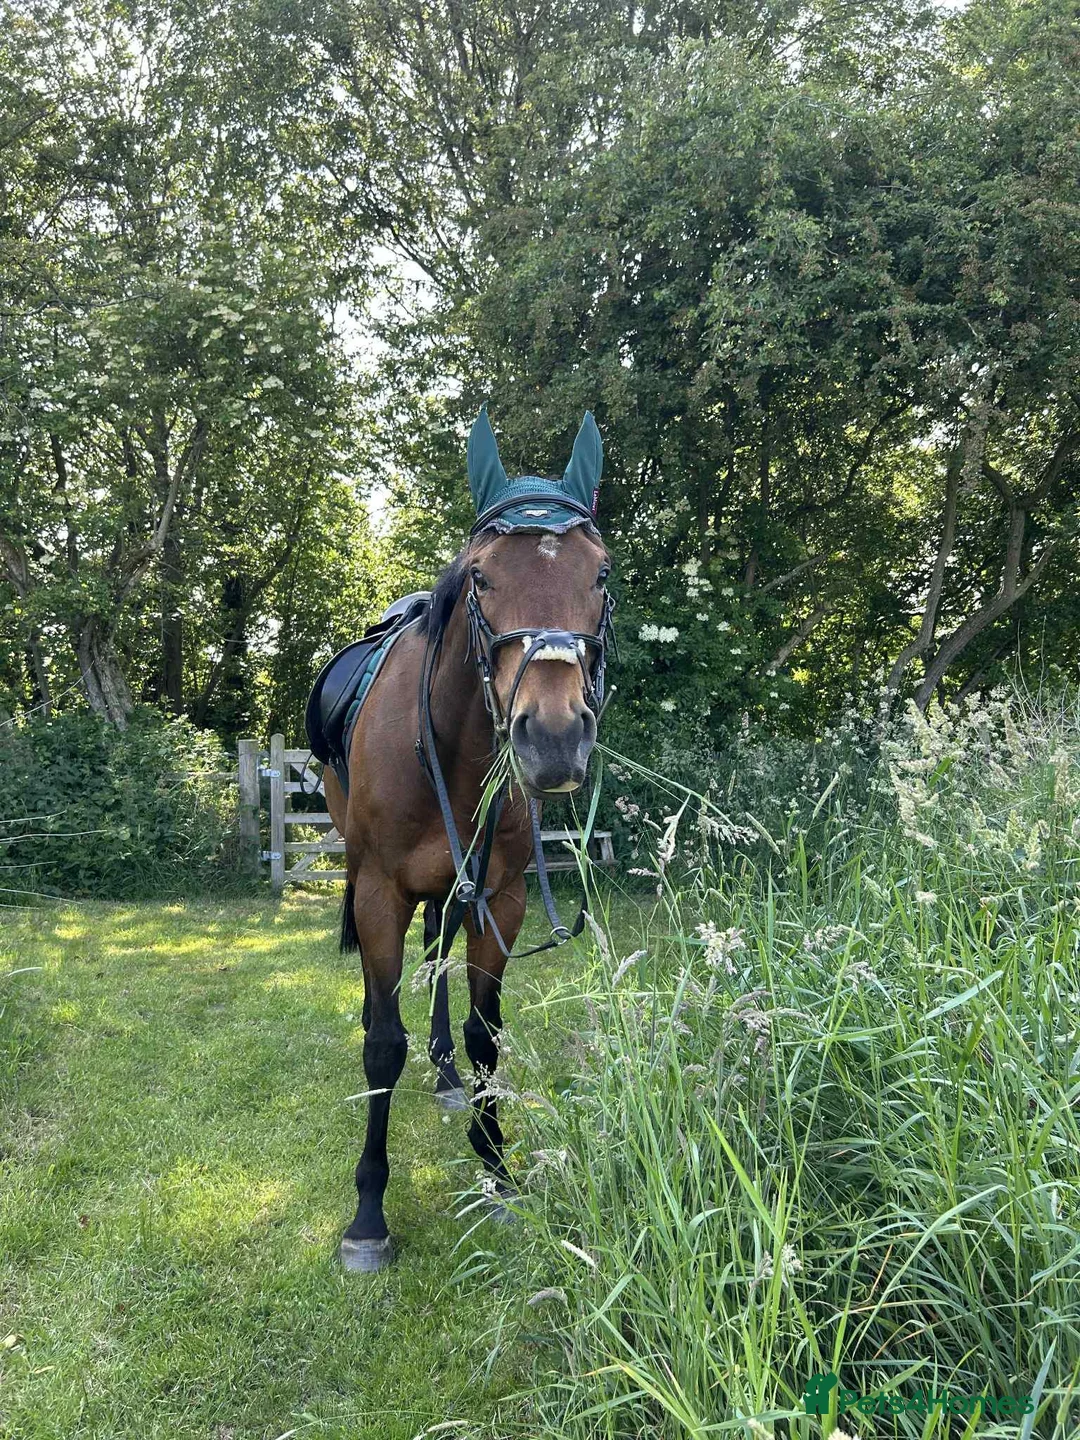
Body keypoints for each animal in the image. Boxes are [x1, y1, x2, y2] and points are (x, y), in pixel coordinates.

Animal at [320, 407, 614, 1273]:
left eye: (601, 574)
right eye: (481, 577)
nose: (553, 738)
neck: (449, 747)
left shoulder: (502, 897)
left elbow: (487, 1036)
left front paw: (498, 1171)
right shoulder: (380, 890)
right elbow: (382, 1046)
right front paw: (369, 1215)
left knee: (438, 949)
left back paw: (445, 1067)